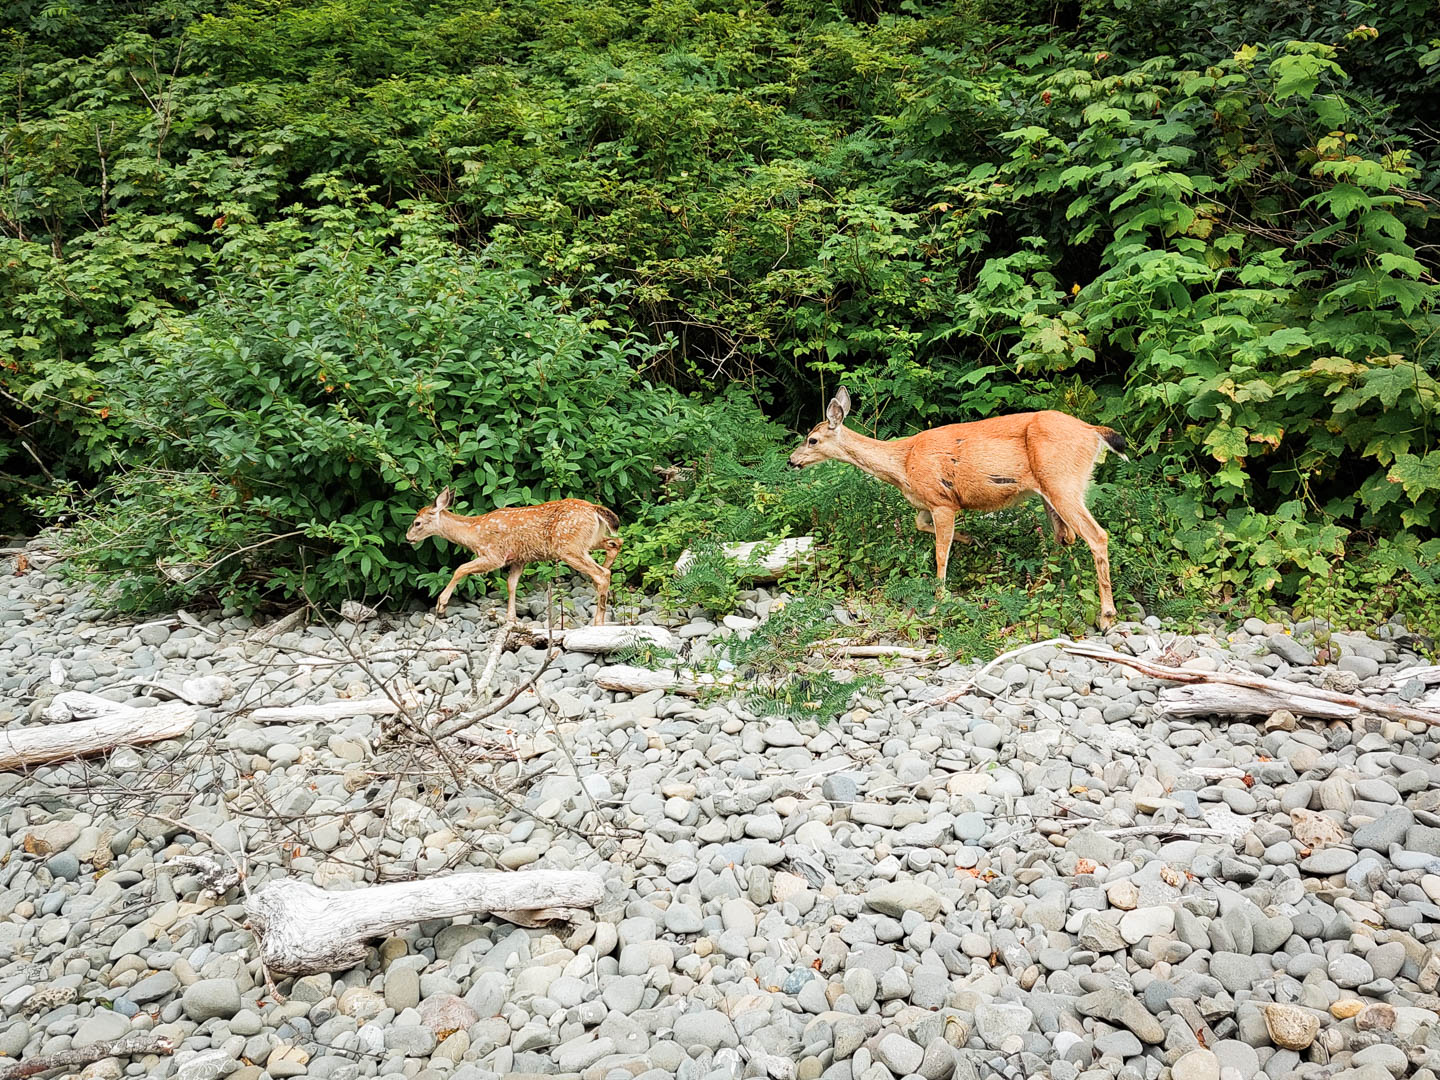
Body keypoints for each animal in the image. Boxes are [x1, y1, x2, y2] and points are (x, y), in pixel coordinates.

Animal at [411, 489, 624, 624]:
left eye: (417, 523)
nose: (408, 537)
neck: (473, 532)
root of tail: (594, 509)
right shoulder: (519, 559)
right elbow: (511, 584)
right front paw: (511, 618)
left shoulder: (494, 555)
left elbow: (460, 569)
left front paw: (441, 604)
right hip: (588, 541)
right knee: (616, 543)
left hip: (568, 547)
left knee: (602, 573)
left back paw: (598, 621)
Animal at [789, 385, 1123, 624]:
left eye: (812, 439)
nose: (792, 461)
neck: (903, 464)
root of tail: (1093, 432)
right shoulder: (927, 503)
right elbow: (919, 524)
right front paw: (972, 539)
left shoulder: (942, 502)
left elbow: (940, 554)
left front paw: (937, 603)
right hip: (1050, 491)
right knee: (1064, 536)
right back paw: (1037, 589)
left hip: (1063, 481)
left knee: (1096, 535)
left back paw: (1107, 615)